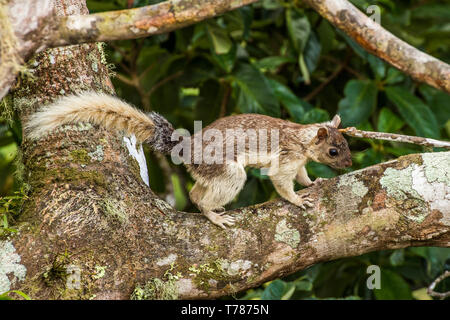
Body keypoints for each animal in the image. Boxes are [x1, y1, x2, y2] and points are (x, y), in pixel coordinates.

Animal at [26, 91, 354, 229]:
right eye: (334, 151)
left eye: (346, 144)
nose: (349, 164)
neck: (304, 139)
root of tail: (188, 149)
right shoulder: (287, 157)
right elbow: (282, 183)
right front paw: (298, 200)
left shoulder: (298, 162)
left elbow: (301, 177)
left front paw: (314, 182)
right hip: (227, 170)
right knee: (208, 194)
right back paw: (214, 215)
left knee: (196, 192)